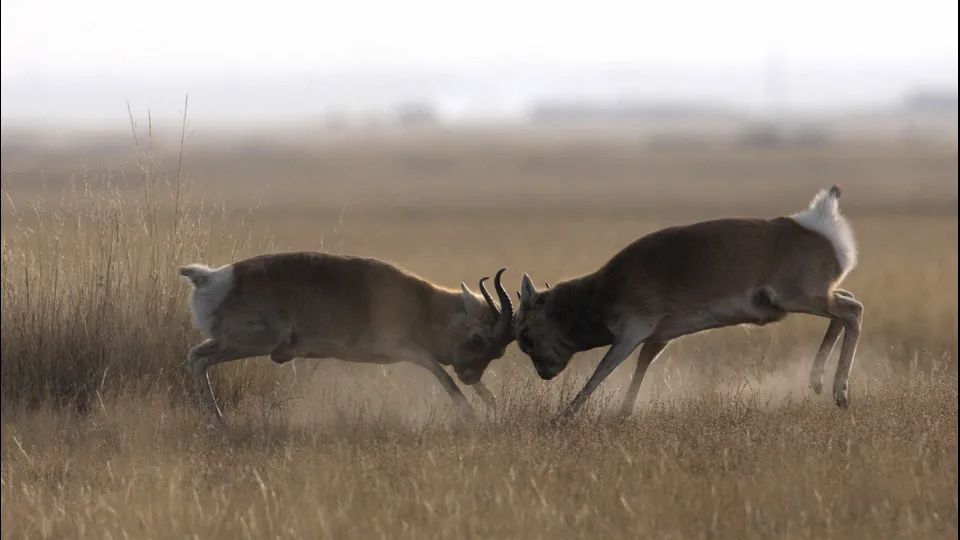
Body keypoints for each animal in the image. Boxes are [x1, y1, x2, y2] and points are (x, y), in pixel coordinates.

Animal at [176, 253, 512, 422]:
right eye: (478, 338)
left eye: (498, 352)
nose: (470, 375)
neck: (421, 302)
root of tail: (211, 278)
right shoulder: (402, 348)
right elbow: (439, 371)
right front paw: (471, 414)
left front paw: (492, 402)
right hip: (246, 344)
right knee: (197, 358)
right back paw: (218, 419)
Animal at [516, 187, 864, 418]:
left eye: (525, 336)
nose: (544, 374)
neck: (602, 290)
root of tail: (813, 222)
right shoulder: (658, 337)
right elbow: (643, 364)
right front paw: (623, 414)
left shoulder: (631, 332)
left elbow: (602, 370)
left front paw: (562, 417)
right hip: (814, 298)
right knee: (846, 305)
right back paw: (818, 383)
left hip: (802, 298)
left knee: (853, 310)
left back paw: (840, 393)